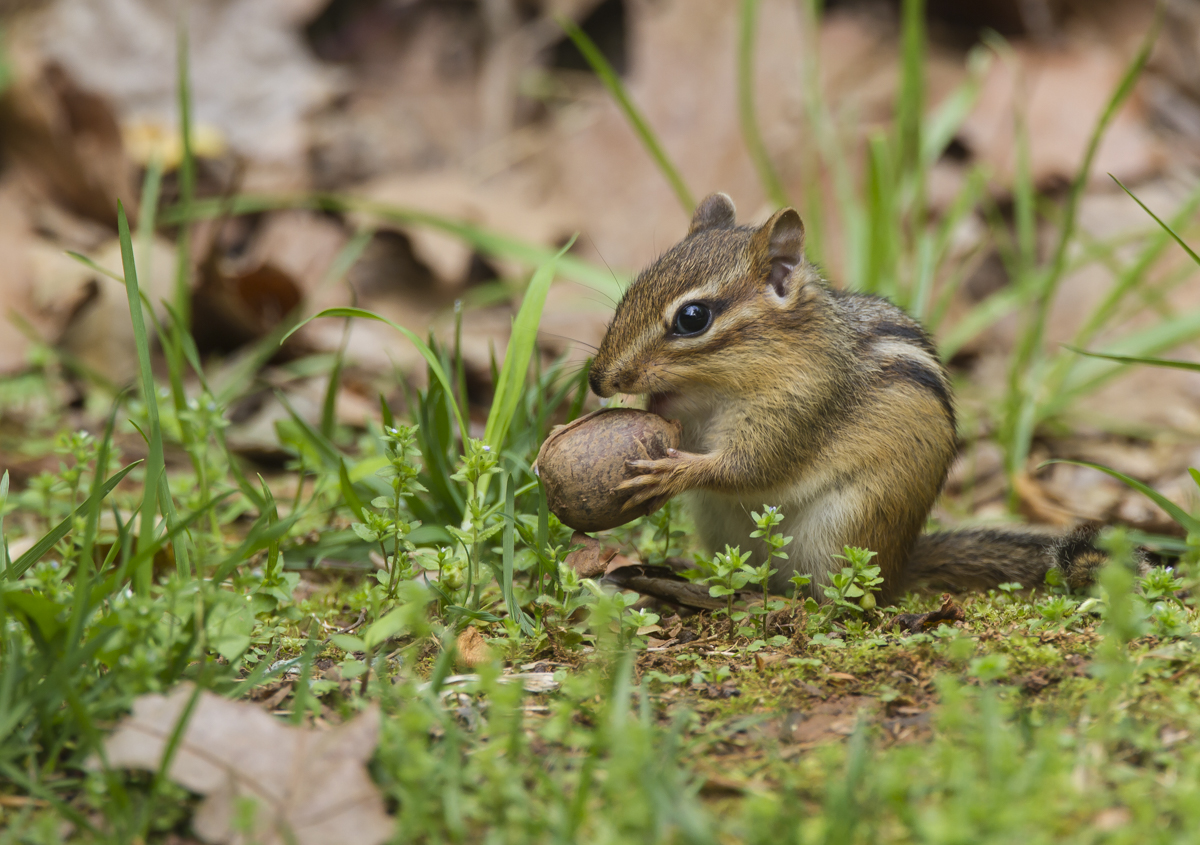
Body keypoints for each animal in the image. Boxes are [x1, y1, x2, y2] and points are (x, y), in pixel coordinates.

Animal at [588, 192, 1116, 602]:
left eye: (693, 318)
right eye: (630, 292)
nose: (598, 380)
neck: (720, 389)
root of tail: (901, 566)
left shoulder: (801, 408)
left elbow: (750, 467)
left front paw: (673, 471)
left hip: (844, 529)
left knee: (849, 602)